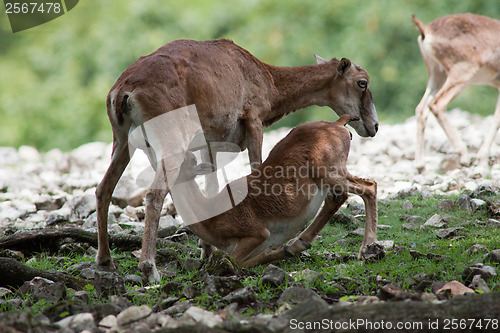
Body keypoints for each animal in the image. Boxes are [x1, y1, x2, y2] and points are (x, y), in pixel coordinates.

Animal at [96, 39, 378, 282]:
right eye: (362, 83)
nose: (373, 126)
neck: (265, 77)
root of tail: (124, 91)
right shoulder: (254, 120)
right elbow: (256, 165)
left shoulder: (210, 144)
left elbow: (212, 184)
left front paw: (206, 251)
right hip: (169, 145)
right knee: (155, 195)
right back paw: (150, 269)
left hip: (122, 143)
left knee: (104, 189)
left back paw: (105, 261)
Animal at [412, 13, 500, 171]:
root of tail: (426, 30)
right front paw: (482, 162)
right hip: (461, 75)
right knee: (437, 104)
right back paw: (464, 156)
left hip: (437, 75)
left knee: (421, 109)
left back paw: (420, 165)